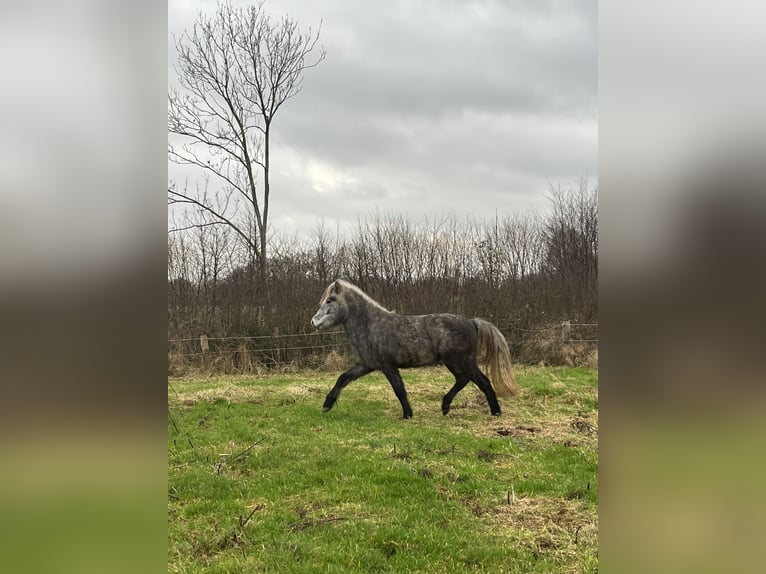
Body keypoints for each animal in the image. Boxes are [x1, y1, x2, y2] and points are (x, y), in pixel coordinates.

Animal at [310, 280, 519, 419]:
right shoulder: (365, 365)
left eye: (330, 300)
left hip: (460, 360)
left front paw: (407, 415)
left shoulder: (388, 366)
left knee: (481, 381)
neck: (372, 325)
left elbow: (399, 390)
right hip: (457, 362)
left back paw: (495, 412)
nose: (313, 321)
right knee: (464, 379)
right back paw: (445, 407)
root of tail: (472, 322)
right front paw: (327, 404)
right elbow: (343, 378)